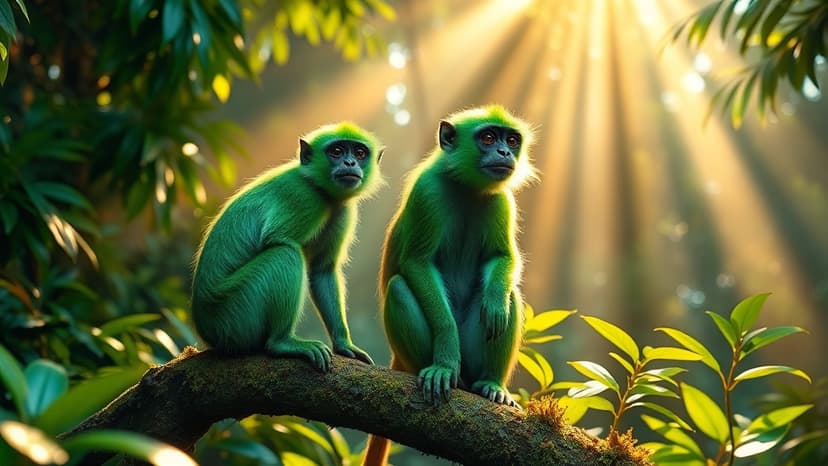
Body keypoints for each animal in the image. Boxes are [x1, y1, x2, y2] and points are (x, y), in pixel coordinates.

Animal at [191, 122, 383, 372]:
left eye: (360, 153)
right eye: (336, 151)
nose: (350, 163)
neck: (317, 186)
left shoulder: (341, 209)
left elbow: (322, 270)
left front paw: (344, 344)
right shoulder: (303, 196)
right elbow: (277, 240)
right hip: (231, 317)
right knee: (285, 253)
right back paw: (282, 343)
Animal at [362, 105, 535, 466]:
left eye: (511, 140)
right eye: (488, 137)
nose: (505, 153)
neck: (467, 189)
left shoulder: (501, 199)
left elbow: (503, 259)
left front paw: (495, 302)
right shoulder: (427, 191)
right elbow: (417, 263)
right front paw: (443, 360)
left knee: (510, 296)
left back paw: (491, 384)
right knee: (399, 286)